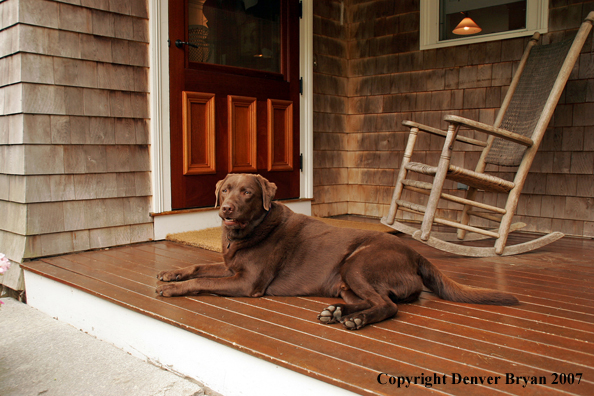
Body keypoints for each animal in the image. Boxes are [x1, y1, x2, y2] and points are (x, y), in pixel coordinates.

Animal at [155, 174, 516, 332]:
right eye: (225, 190)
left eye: (247, 192)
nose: (226, 209)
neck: (247, 232)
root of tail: (415, 254)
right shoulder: (231, 267)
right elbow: (198, 266)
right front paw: (170, 273)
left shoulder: (246, 283)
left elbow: (201, 281)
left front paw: (173, 288)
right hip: (344, 280)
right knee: (371, 299)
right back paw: (337, 312)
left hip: (358, 262)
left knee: (387, 305)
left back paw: (353, 319)